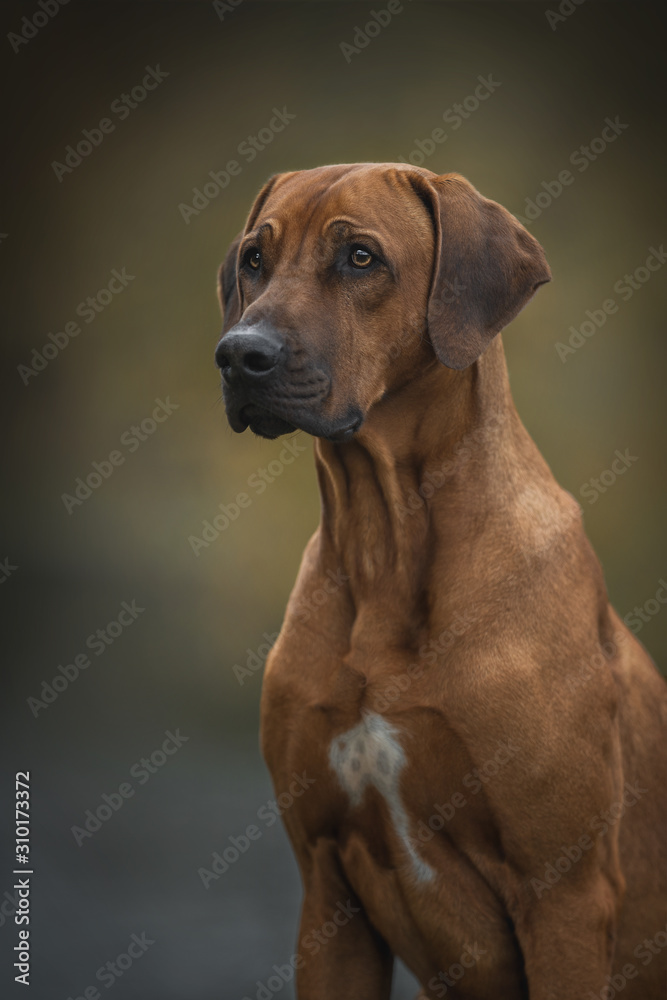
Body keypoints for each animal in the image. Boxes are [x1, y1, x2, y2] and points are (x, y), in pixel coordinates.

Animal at [214, 166, 667, 1000]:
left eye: (360, 257)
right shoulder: (326, 889)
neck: (383, 551)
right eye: (255, 259)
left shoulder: (565, 895)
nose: (238, 355)